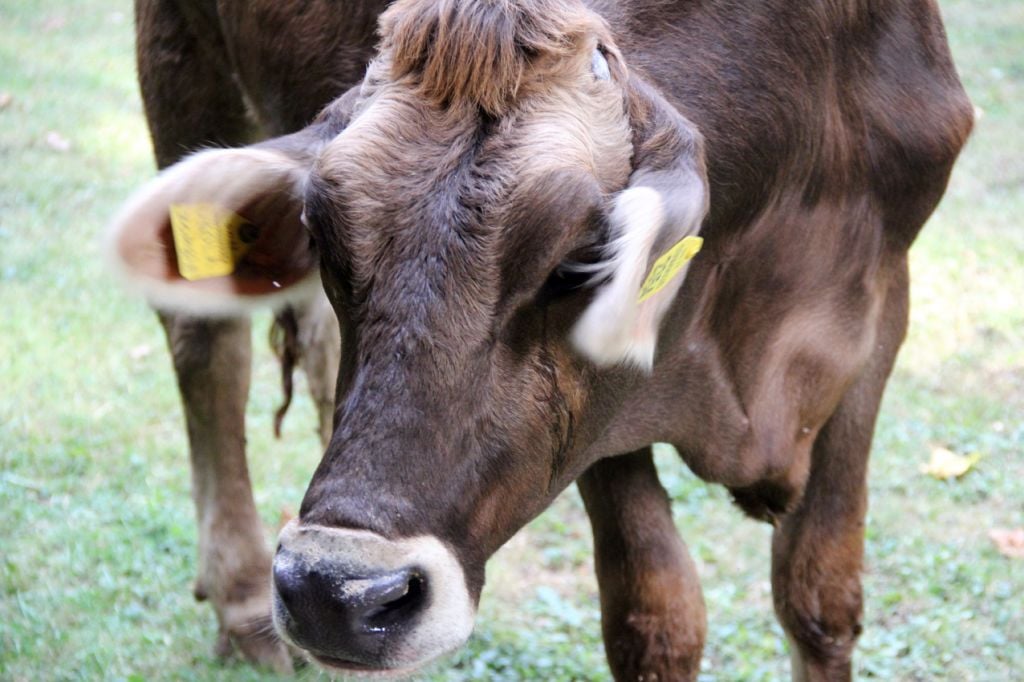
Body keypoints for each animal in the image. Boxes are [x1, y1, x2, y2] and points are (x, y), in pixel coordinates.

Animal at [108, 0, 970, 675]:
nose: (331, 592)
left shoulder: (878, 316)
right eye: (323, 238)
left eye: (580, 263)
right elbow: (656, 617)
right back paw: (242, 598)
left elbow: (820, 594)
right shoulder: (601, 425)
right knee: (207, 346)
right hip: (181, 57)